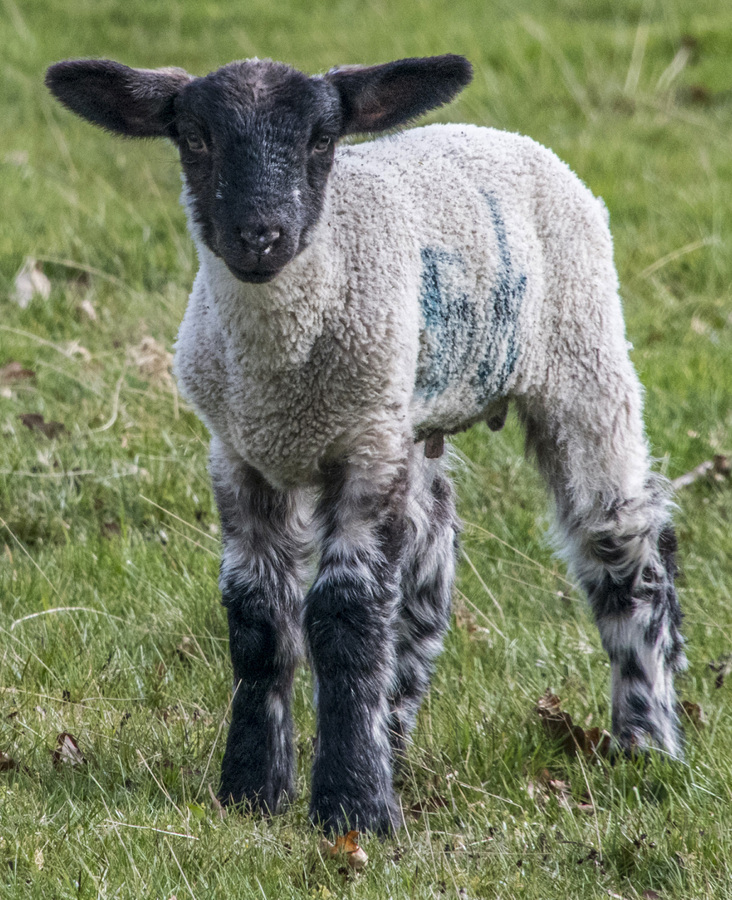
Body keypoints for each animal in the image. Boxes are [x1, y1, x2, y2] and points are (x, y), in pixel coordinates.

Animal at [46, 53, 686, 836]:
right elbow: (257, 618)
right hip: (415, 420)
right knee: (428, 563)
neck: (282, 367)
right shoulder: (241, 454)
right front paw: (252, 790)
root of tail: (497, 134)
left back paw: (647, 739)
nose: (260, 236)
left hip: (583, 359)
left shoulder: (363, 445)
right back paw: (396, 741)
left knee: (624, 544)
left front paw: (352, 806)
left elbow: (345, 613)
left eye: (322, 140)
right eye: (195, 138)